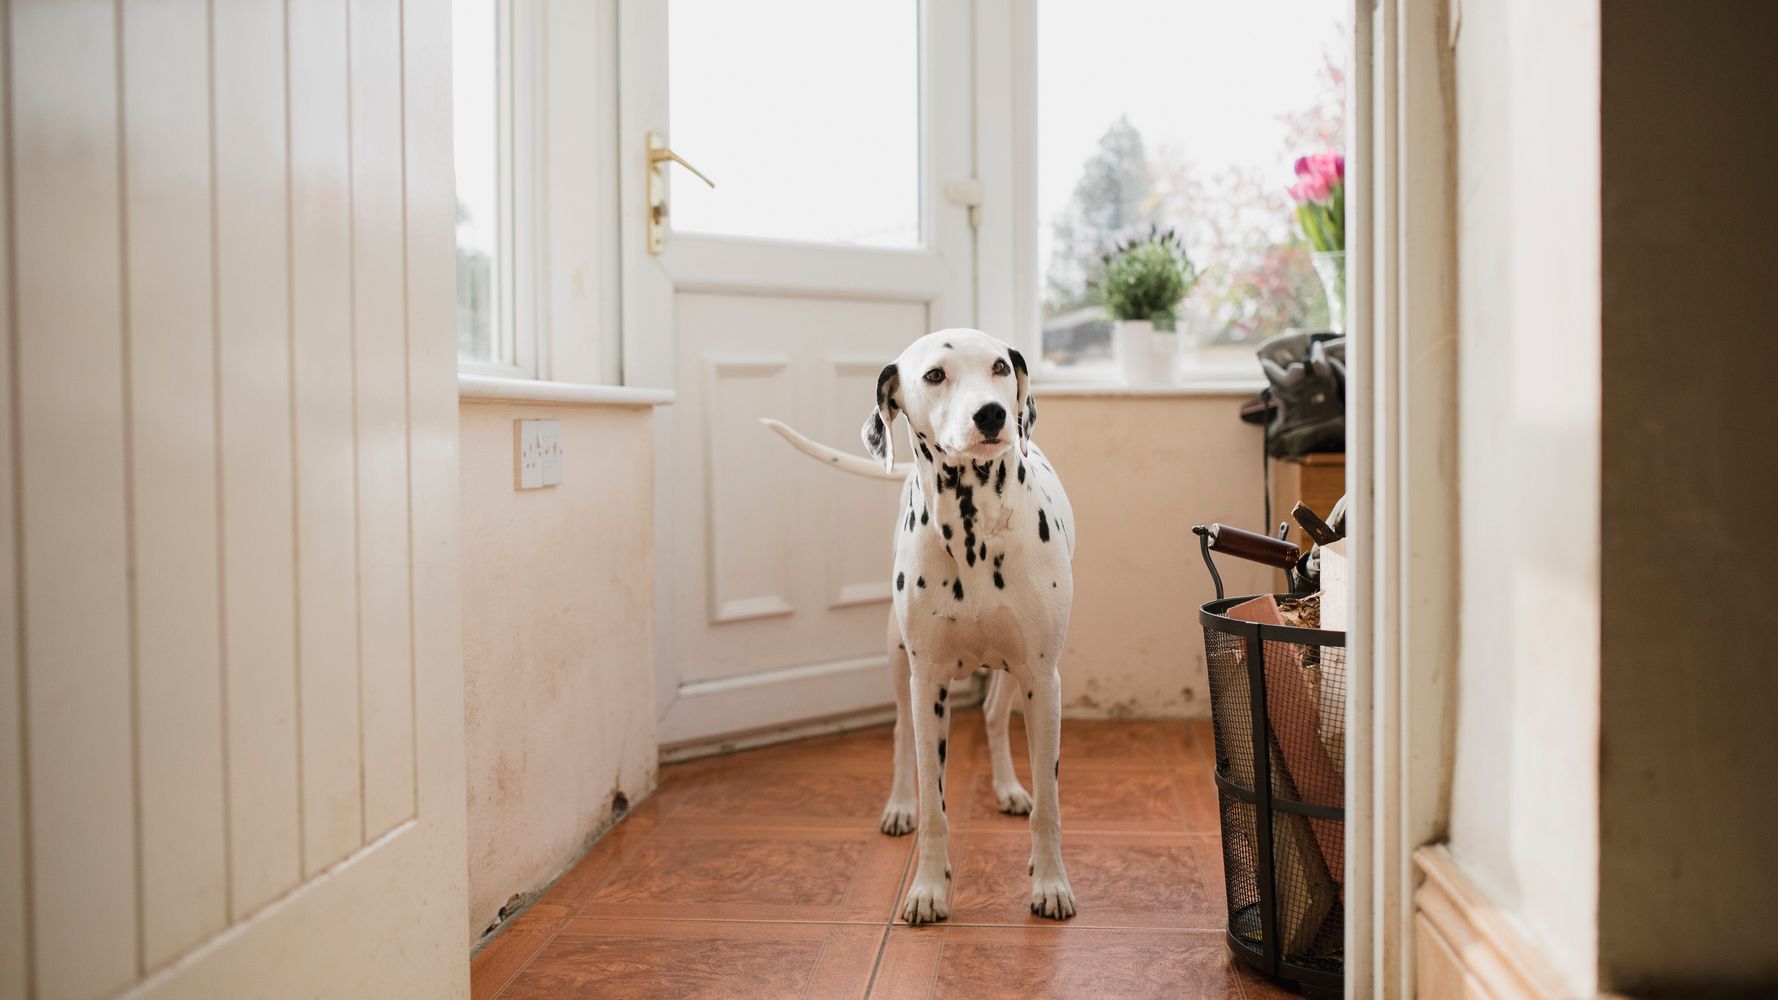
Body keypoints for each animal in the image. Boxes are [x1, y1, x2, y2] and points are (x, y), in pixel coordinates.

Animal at [760, 327, 1073, 918]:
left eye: (1000, 366)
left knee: (994, 717)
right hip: (897, 663)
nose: (993, 414)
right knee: (902, 736)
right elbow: (935, 805)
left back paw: (1007, 787)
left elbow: (1048, 803)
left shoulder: (1043, 681)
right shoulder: (928, 684)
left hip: (1016, 674)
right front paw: (928, 887)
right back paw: (899, 804)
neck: (974, 530)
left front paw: (1049, 883)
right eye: (934, 375)